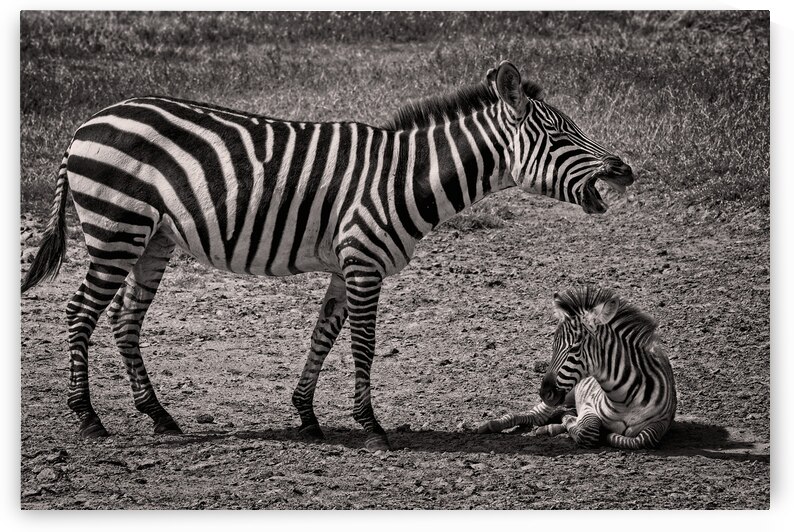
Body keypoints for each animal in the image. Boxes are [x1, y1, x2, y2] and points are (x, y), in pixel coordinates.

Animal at [20, 61, 634, 451]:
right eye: (559, 136)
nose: (625, 169)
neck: (404, 178)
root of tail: (88, 123)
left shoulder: (347, 264)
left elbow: (323, 335)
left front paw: (307, 417)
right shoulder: (363, 261)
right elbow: (362, 344)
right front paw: (372, 428)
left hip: (153, 239)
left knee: (125, 319)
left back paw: (159, 416)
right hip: (115, 227)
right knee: (80, 312)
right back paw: (89, 419)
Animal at [477, 287, 677, 449]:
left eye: (574, 348)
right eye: (553, 347)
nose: (545, 393)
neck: (623, 400)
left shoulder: (662, 422)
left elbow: (643, 439)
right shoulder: (588, 405)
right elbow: (588, 432)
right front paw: (574, 423)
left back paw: (551, 426)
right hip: (566, 394)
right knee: (535, 415)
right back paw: (494, 424)